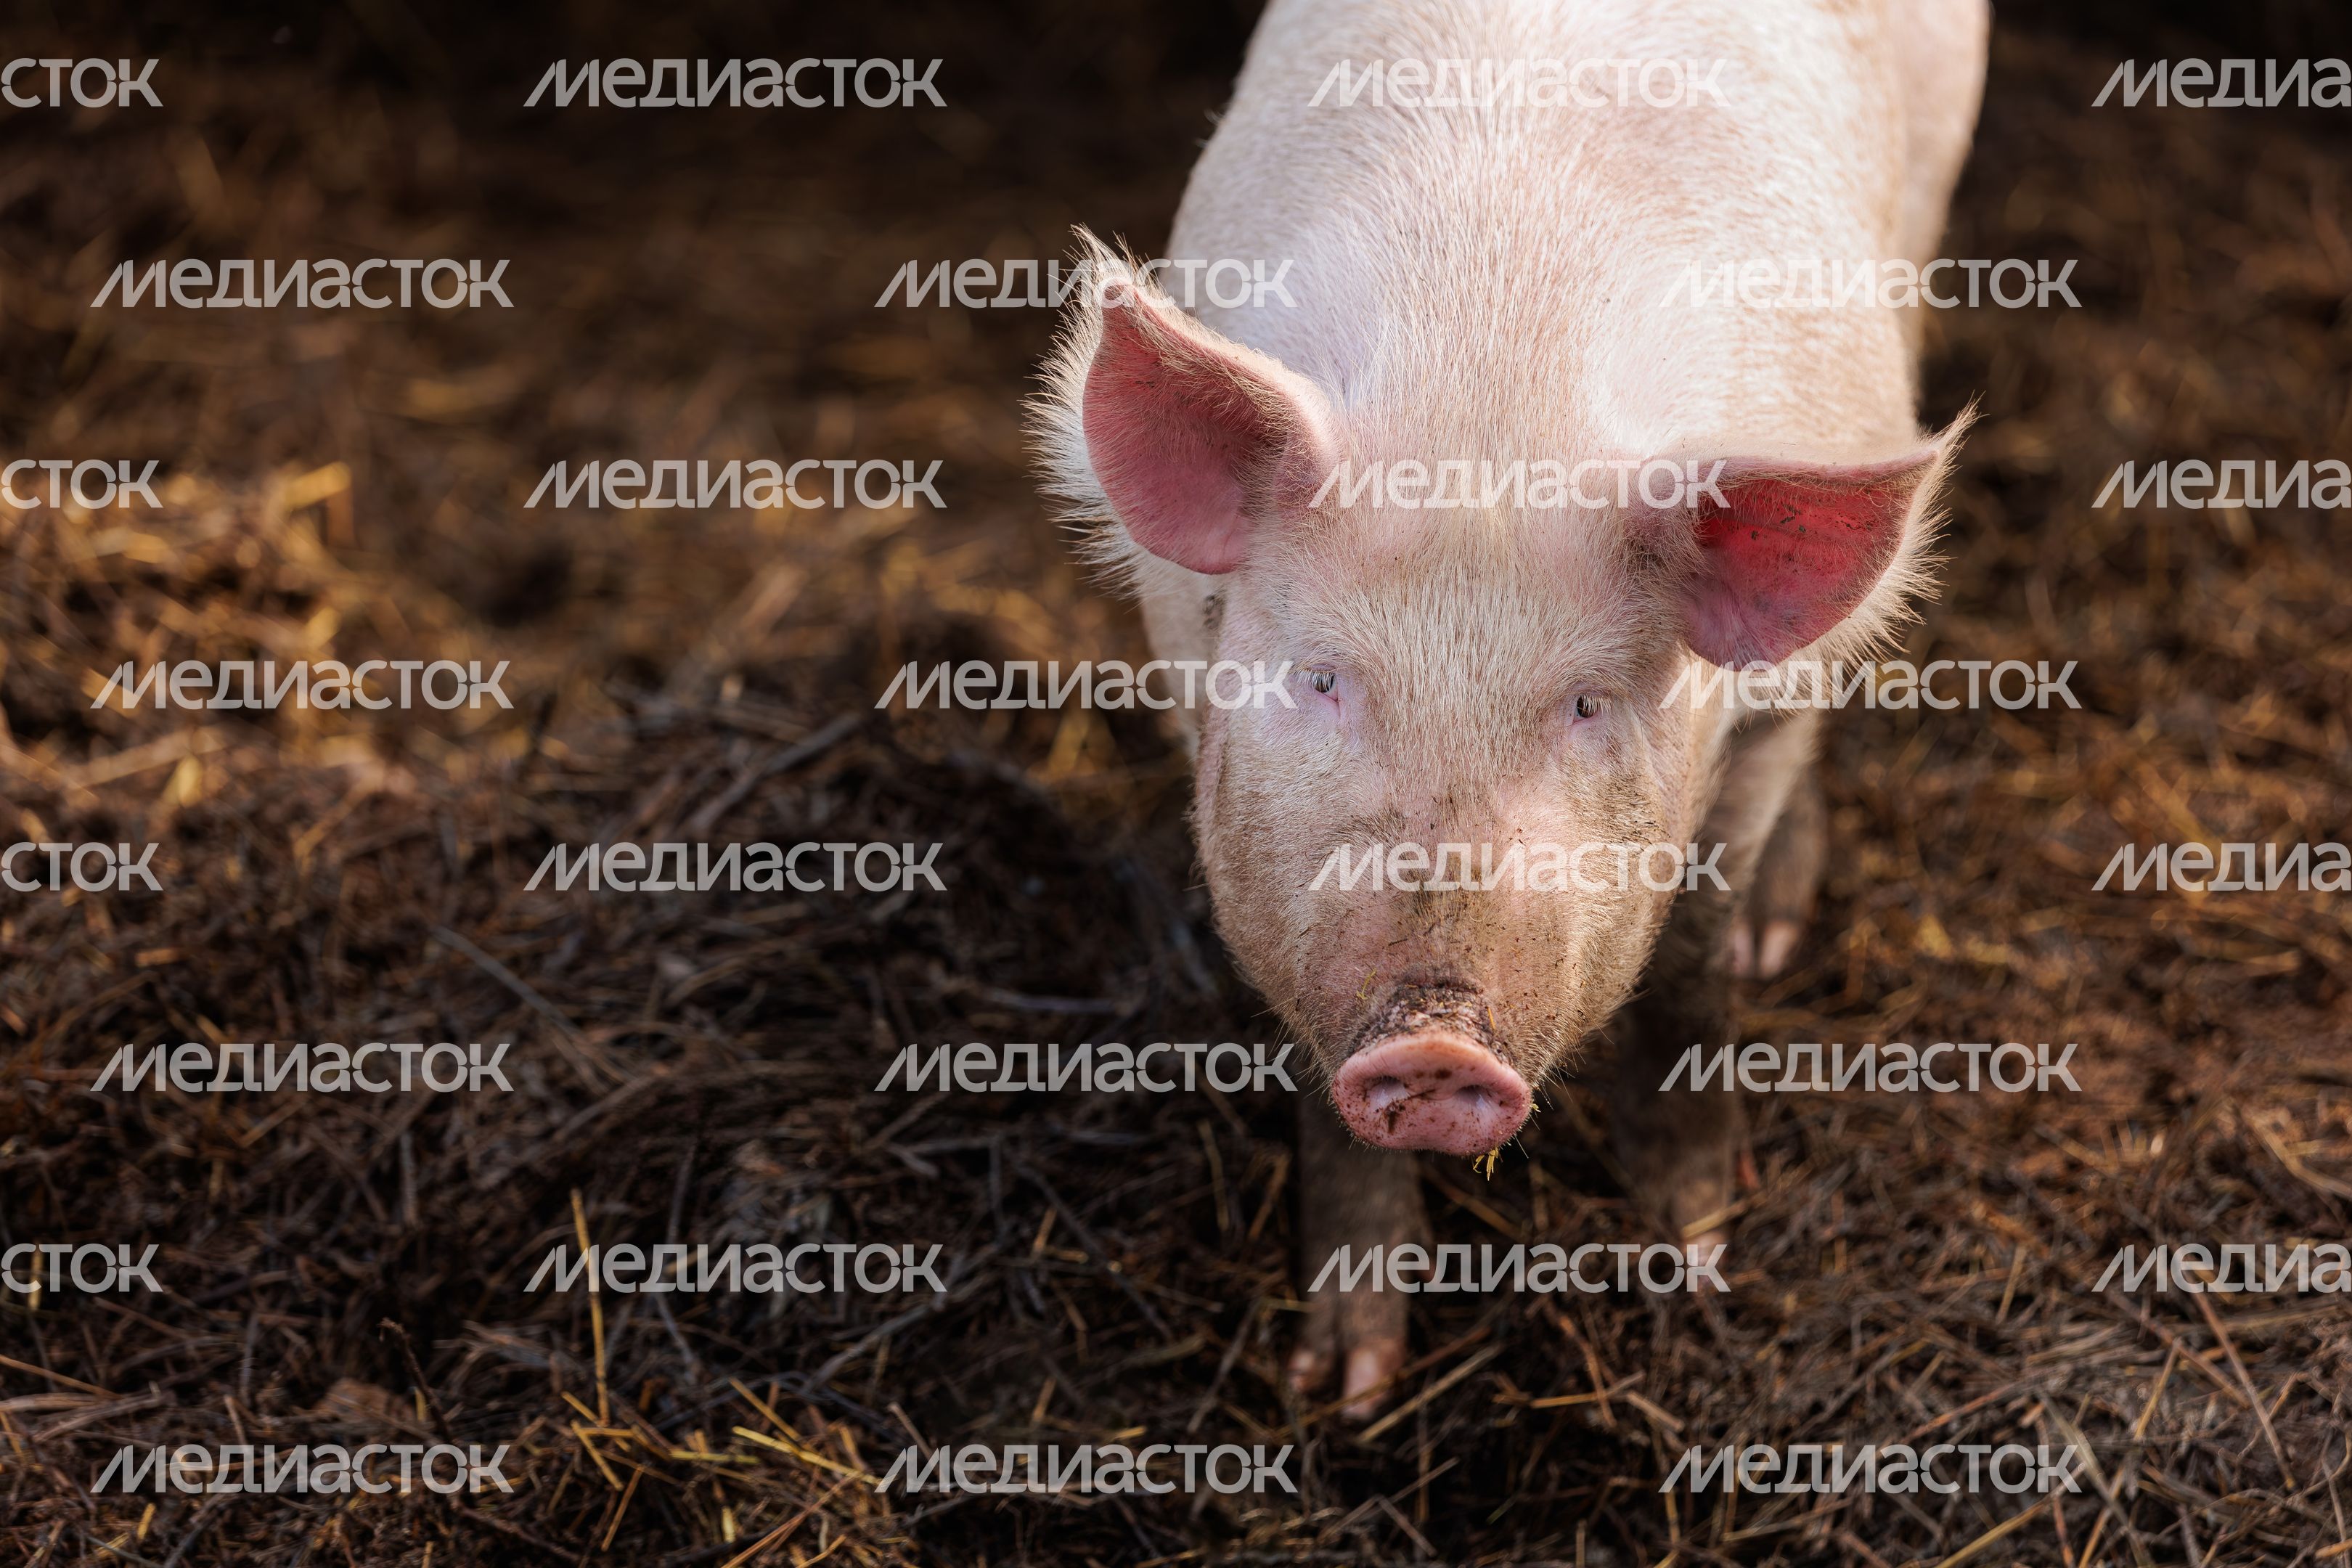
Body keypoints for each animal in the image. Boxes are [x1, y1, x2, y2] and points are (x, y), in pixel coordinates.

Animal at [1031, 0, 1987, 1414]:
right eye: (1322, 677)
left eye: (1588, 702)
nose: (1433, 1044)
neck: (1489, 392)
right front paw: (1344, 1388)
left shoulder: (1763, 717)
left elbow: (1693, 957)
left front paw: (1688, 1253)